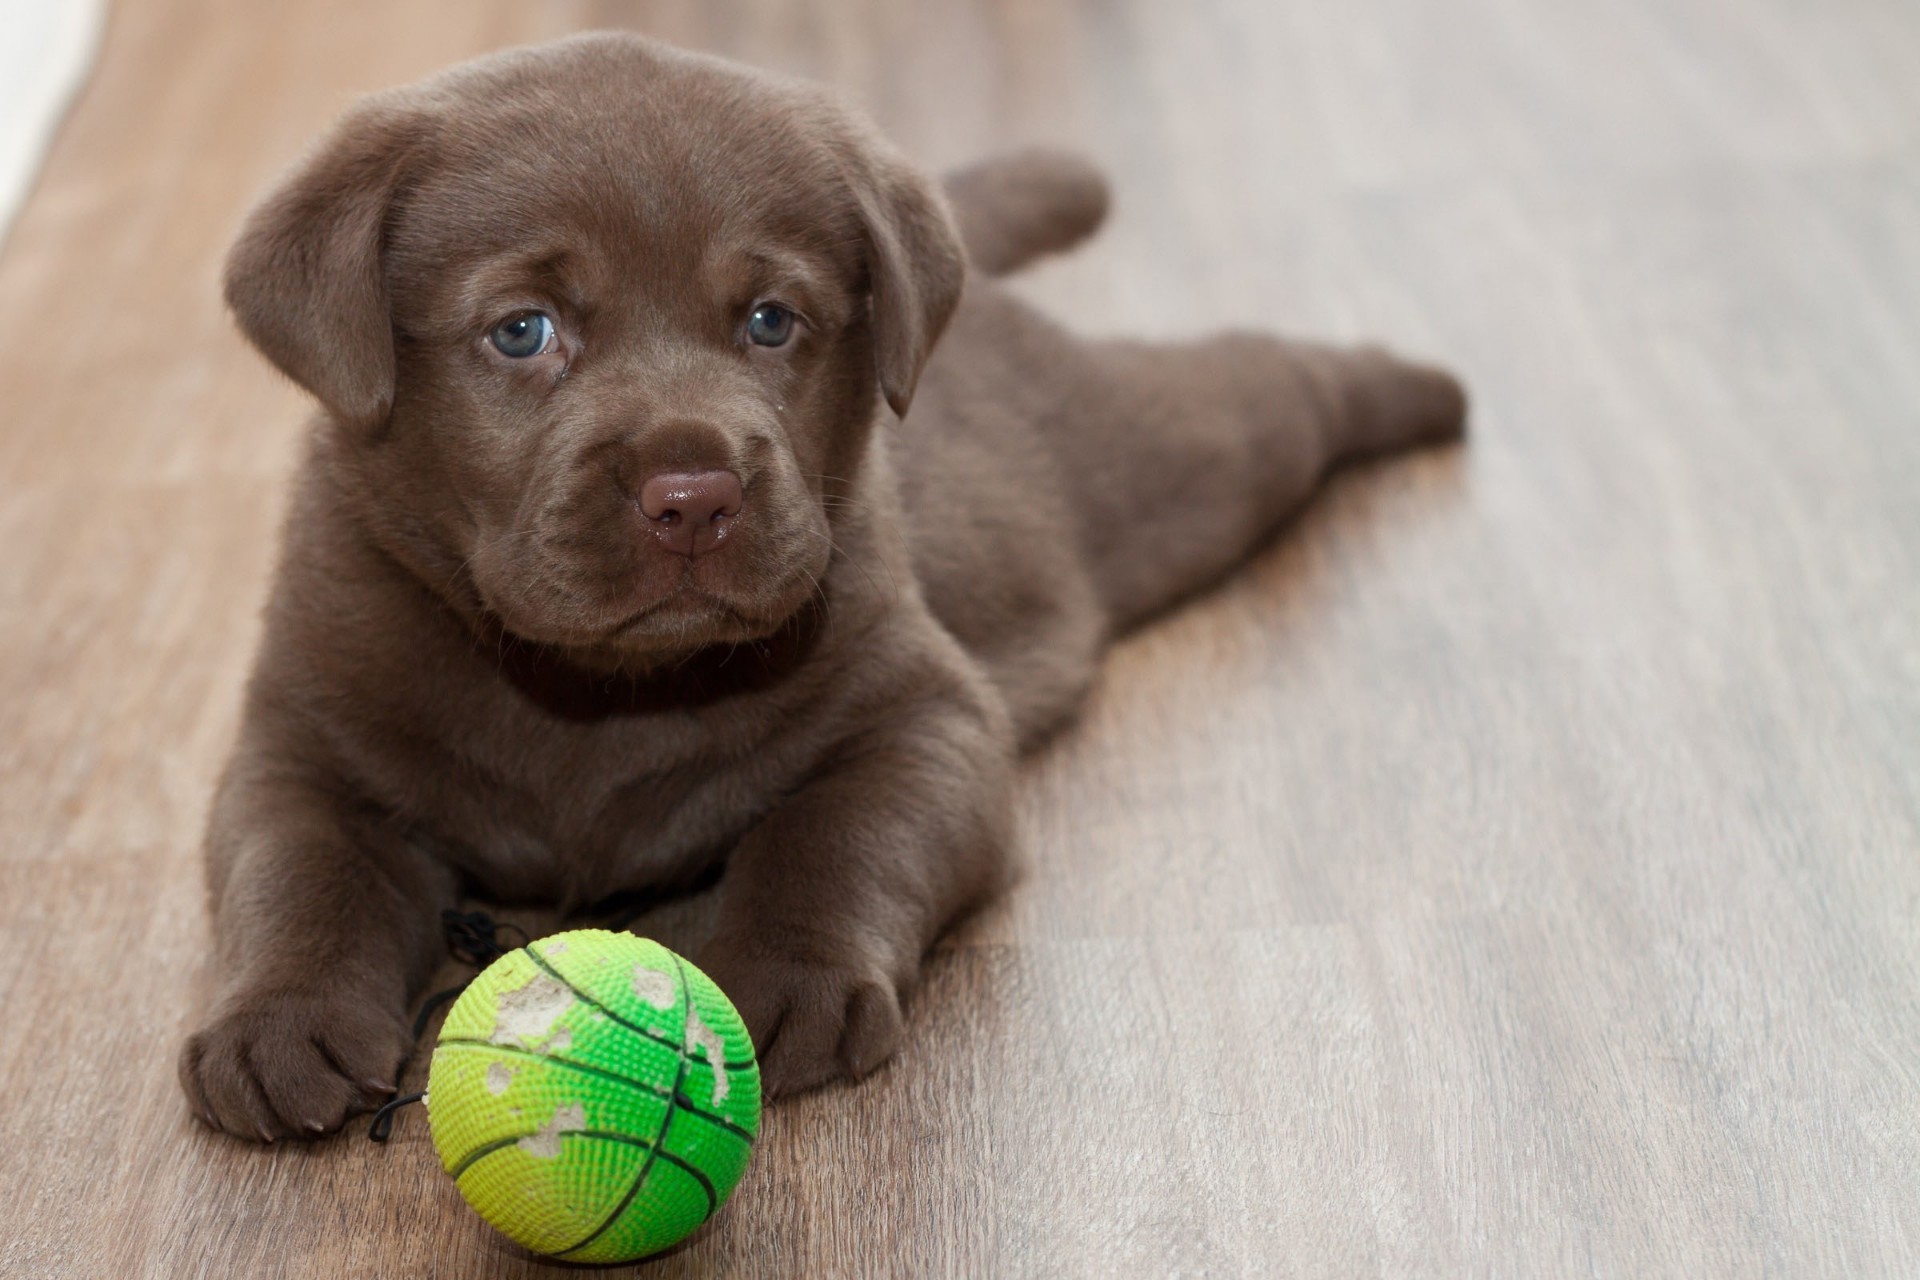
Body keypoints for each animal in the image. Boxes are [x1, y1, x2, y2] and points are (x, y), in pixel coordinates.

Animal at [183, 32, 1466, 1143]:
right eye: (522, 332)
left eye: (770, 320)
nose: (694, 493)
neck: (596, 694)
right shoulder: (302, 738)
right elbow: (296, 870)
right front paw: (276, 1018)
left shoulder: (929, 719)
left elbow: (833, 831)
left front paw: (786, 973)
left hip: (1173, 464)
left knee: (1273, 385)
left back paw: (1424, 386)